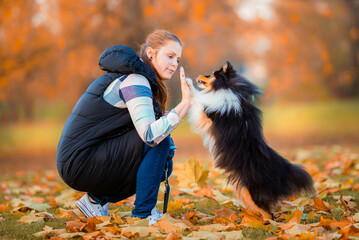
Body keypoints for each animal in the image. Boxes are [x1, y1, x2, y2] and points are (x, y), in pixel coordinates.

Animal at [188, 61, 316, 218]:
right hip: (244, 190)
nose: (197, 76)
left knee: (267, 212)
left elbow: (197, 99)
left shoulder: (207, 114)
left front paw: (187, 83)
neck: (227, 87)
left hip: (252, 191)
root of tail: (281, 171)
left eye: (212, 74)